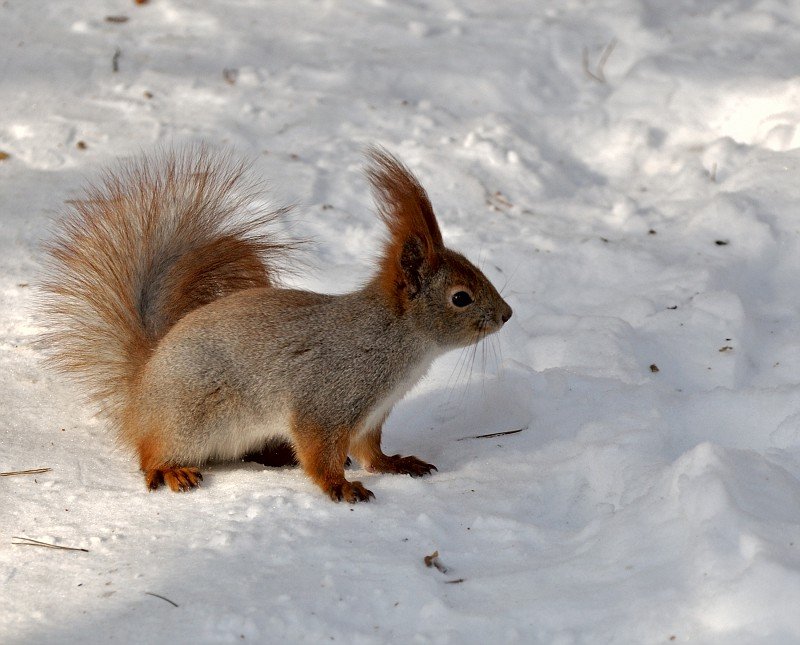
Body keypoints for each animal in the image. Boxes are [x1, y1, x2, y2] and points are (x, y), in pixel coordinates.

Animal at [39, 146, 512, 504]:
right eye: (461, 297)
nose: (507, 315)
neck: (396, 342)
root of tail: (141, 385)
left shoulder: (371, 415)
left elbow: (370, 452)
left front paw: (396, 464)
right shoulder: (327, 402)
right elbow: (319, 451)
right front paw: (341, 487)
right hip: (188, 419)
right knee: (150, 454)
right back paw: (173, 472)